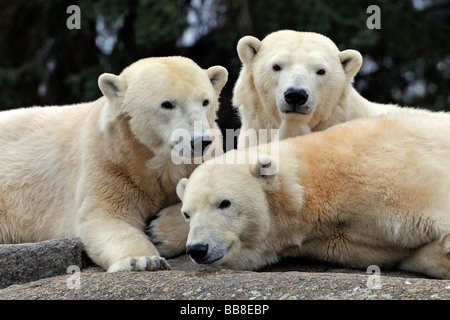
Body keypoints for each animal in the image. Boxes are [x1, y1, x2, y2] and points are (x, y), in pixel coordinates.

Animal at [0, 56, 229, 272]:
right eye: (167, 104)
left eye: (205, 101)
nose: (200, 141)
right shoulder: (109, 160)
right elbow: (106, 216)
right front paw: (143, 260)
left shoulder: (206, 159)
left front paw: (159, 232)